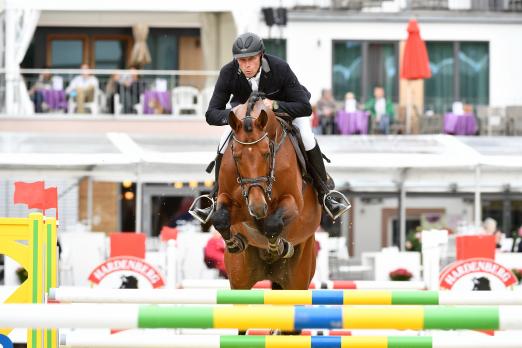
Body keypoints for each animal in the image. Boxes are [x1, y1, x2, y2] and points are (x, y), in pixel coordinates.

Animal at [209, 91, 318, 290]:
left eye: (267, 153)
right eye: (236, 156)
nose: (258, 207)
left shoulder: (293, 202)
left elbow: (273, 224)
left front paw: (279, 246)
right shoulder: (227, 199)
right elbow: (220, 218)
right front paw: (234, 243)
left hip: (299, 275)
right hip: (240, 280)